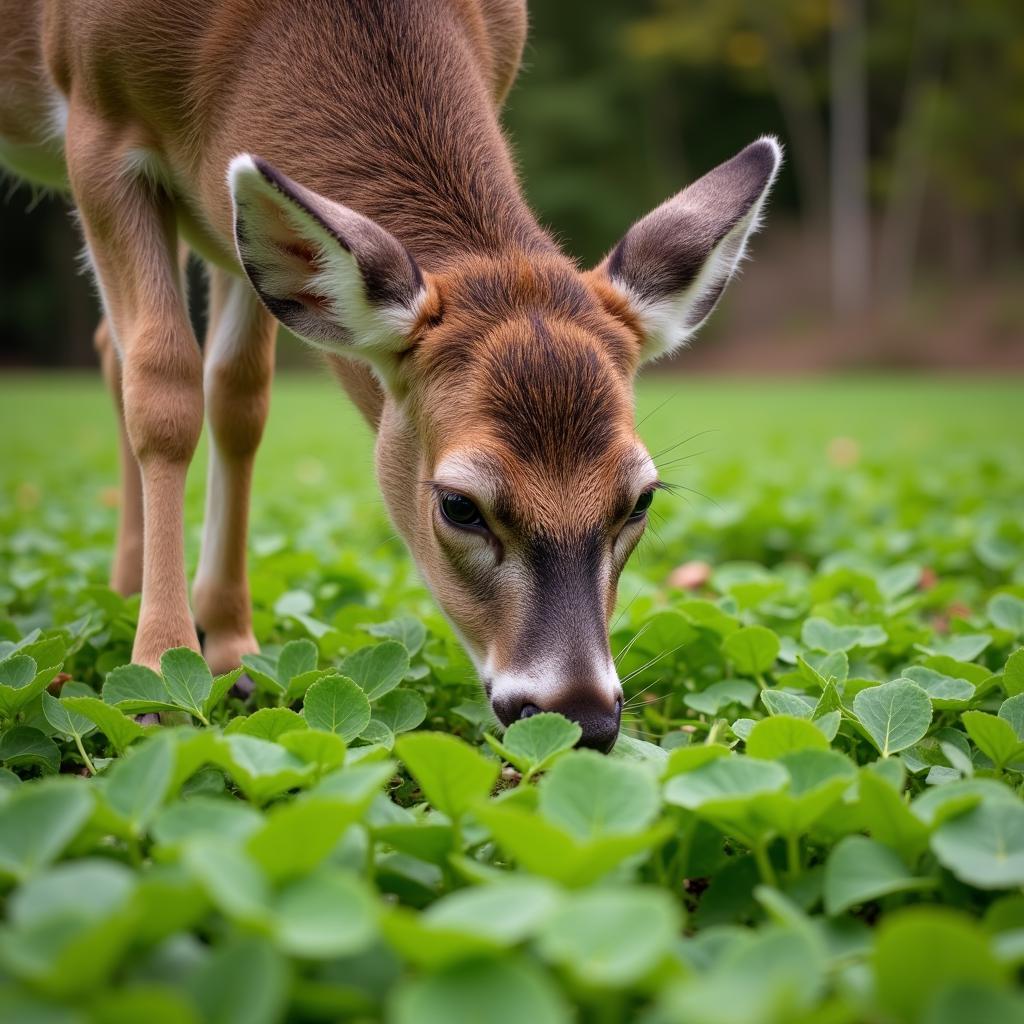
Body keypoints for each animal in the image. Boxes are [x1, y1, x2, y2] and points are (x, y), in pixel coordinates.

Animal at [2, 0, 782, 753]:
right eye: (459, 505)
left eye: (642, 498)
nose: (582, 716)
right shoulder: (97, 126)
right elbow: (166, 388)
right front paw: (162, 678)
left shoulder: (222, 200)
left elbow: (240, 396)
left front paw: (228, 644)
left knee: (116, 348)